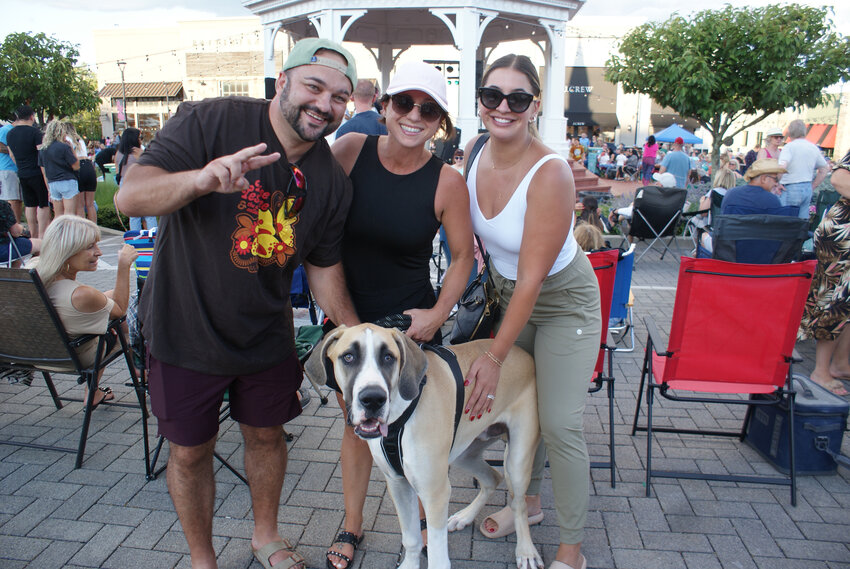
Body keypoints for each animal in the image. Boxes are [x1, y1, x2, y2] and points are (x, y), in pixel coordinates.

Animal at [306, 324, 544, 568]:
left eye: (388, 357)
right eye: (349, 357)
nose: (373, 399)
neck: (401, 415)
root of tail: (526, 355)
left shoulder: (435, 492)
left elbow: (438, 556)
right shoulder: (398, 483)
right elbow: (411, 538)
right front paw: (410, 564)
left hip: (517, 460)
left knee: (519, 503)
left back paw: (526, 551)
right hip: (464, 451)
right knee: (492, 478)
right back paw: (464, 517)